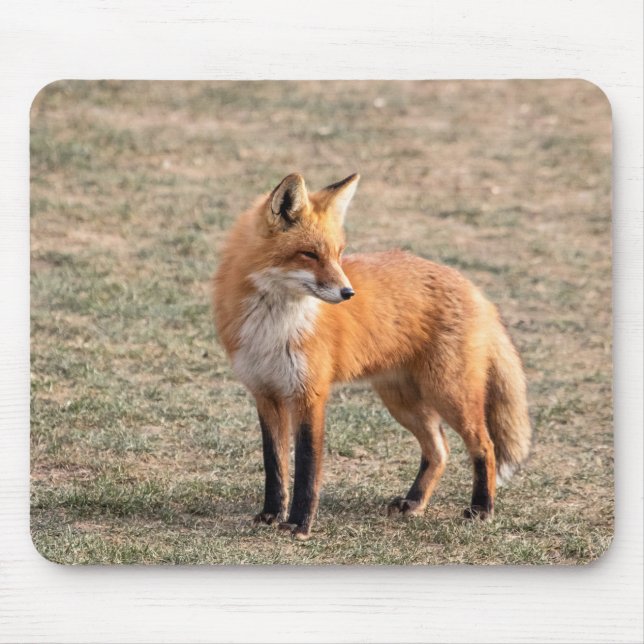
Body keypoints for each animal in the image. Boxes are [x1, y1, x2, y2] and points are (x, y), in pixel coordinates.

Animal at [212, 172, 531, 540]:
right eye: (309, 254)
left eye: (339, 254)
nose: (348, 292)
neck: (274, 324)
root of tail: (475, 289)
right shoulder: (265, 394)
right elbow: (274, 464)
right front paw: (270, 514)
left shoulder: (310, 395)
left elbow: (307, 466)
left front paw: (299, 523)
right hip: (402, 402)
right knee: (439, 450)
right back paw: (414, 502)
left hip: (449, 394)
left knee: (485, 446)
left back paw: (481, 508)